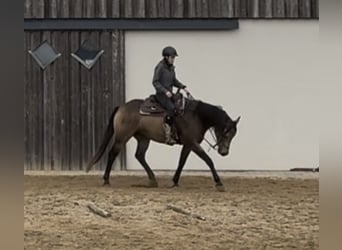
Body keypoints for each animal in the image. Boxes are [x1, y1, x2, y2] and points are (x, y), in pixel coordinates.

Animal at [86, 95, 240, 191]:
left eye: (233, 135)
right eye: (226, 132)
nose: (224, 152)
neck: (197, 116)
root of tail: (121, 107)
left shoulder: (188, 145)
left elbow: (181, 162)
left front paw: (174, 181)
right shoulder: (192, 143)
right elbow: (208, 160)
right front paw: (219, 183)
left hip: (143, 138)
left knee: (139, 155)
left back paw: (153, 180)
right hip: (122, 137)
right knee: (112, 153)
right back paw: (106, 180)